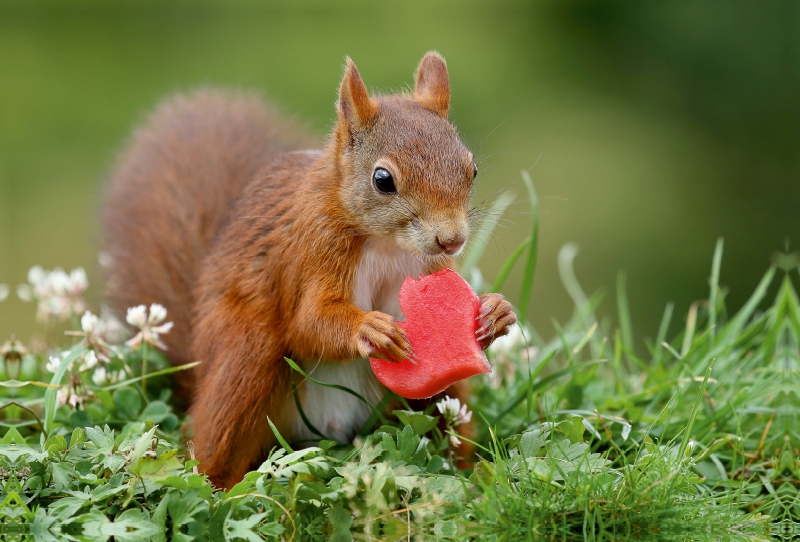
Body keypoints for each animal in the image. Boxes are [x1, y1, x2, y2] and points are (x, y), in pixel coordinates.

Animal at [101, 53, 512, 490]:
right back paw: (223, 487)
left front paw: (495, 312)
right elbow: (308, 322)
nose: (452, 240)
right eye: (383, 180)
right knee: (213, 446)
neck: (385, 243)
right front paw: (368, 329)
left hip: (442, 399)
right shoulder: (311, 253)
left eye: (471, 169)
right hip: (246, 358)